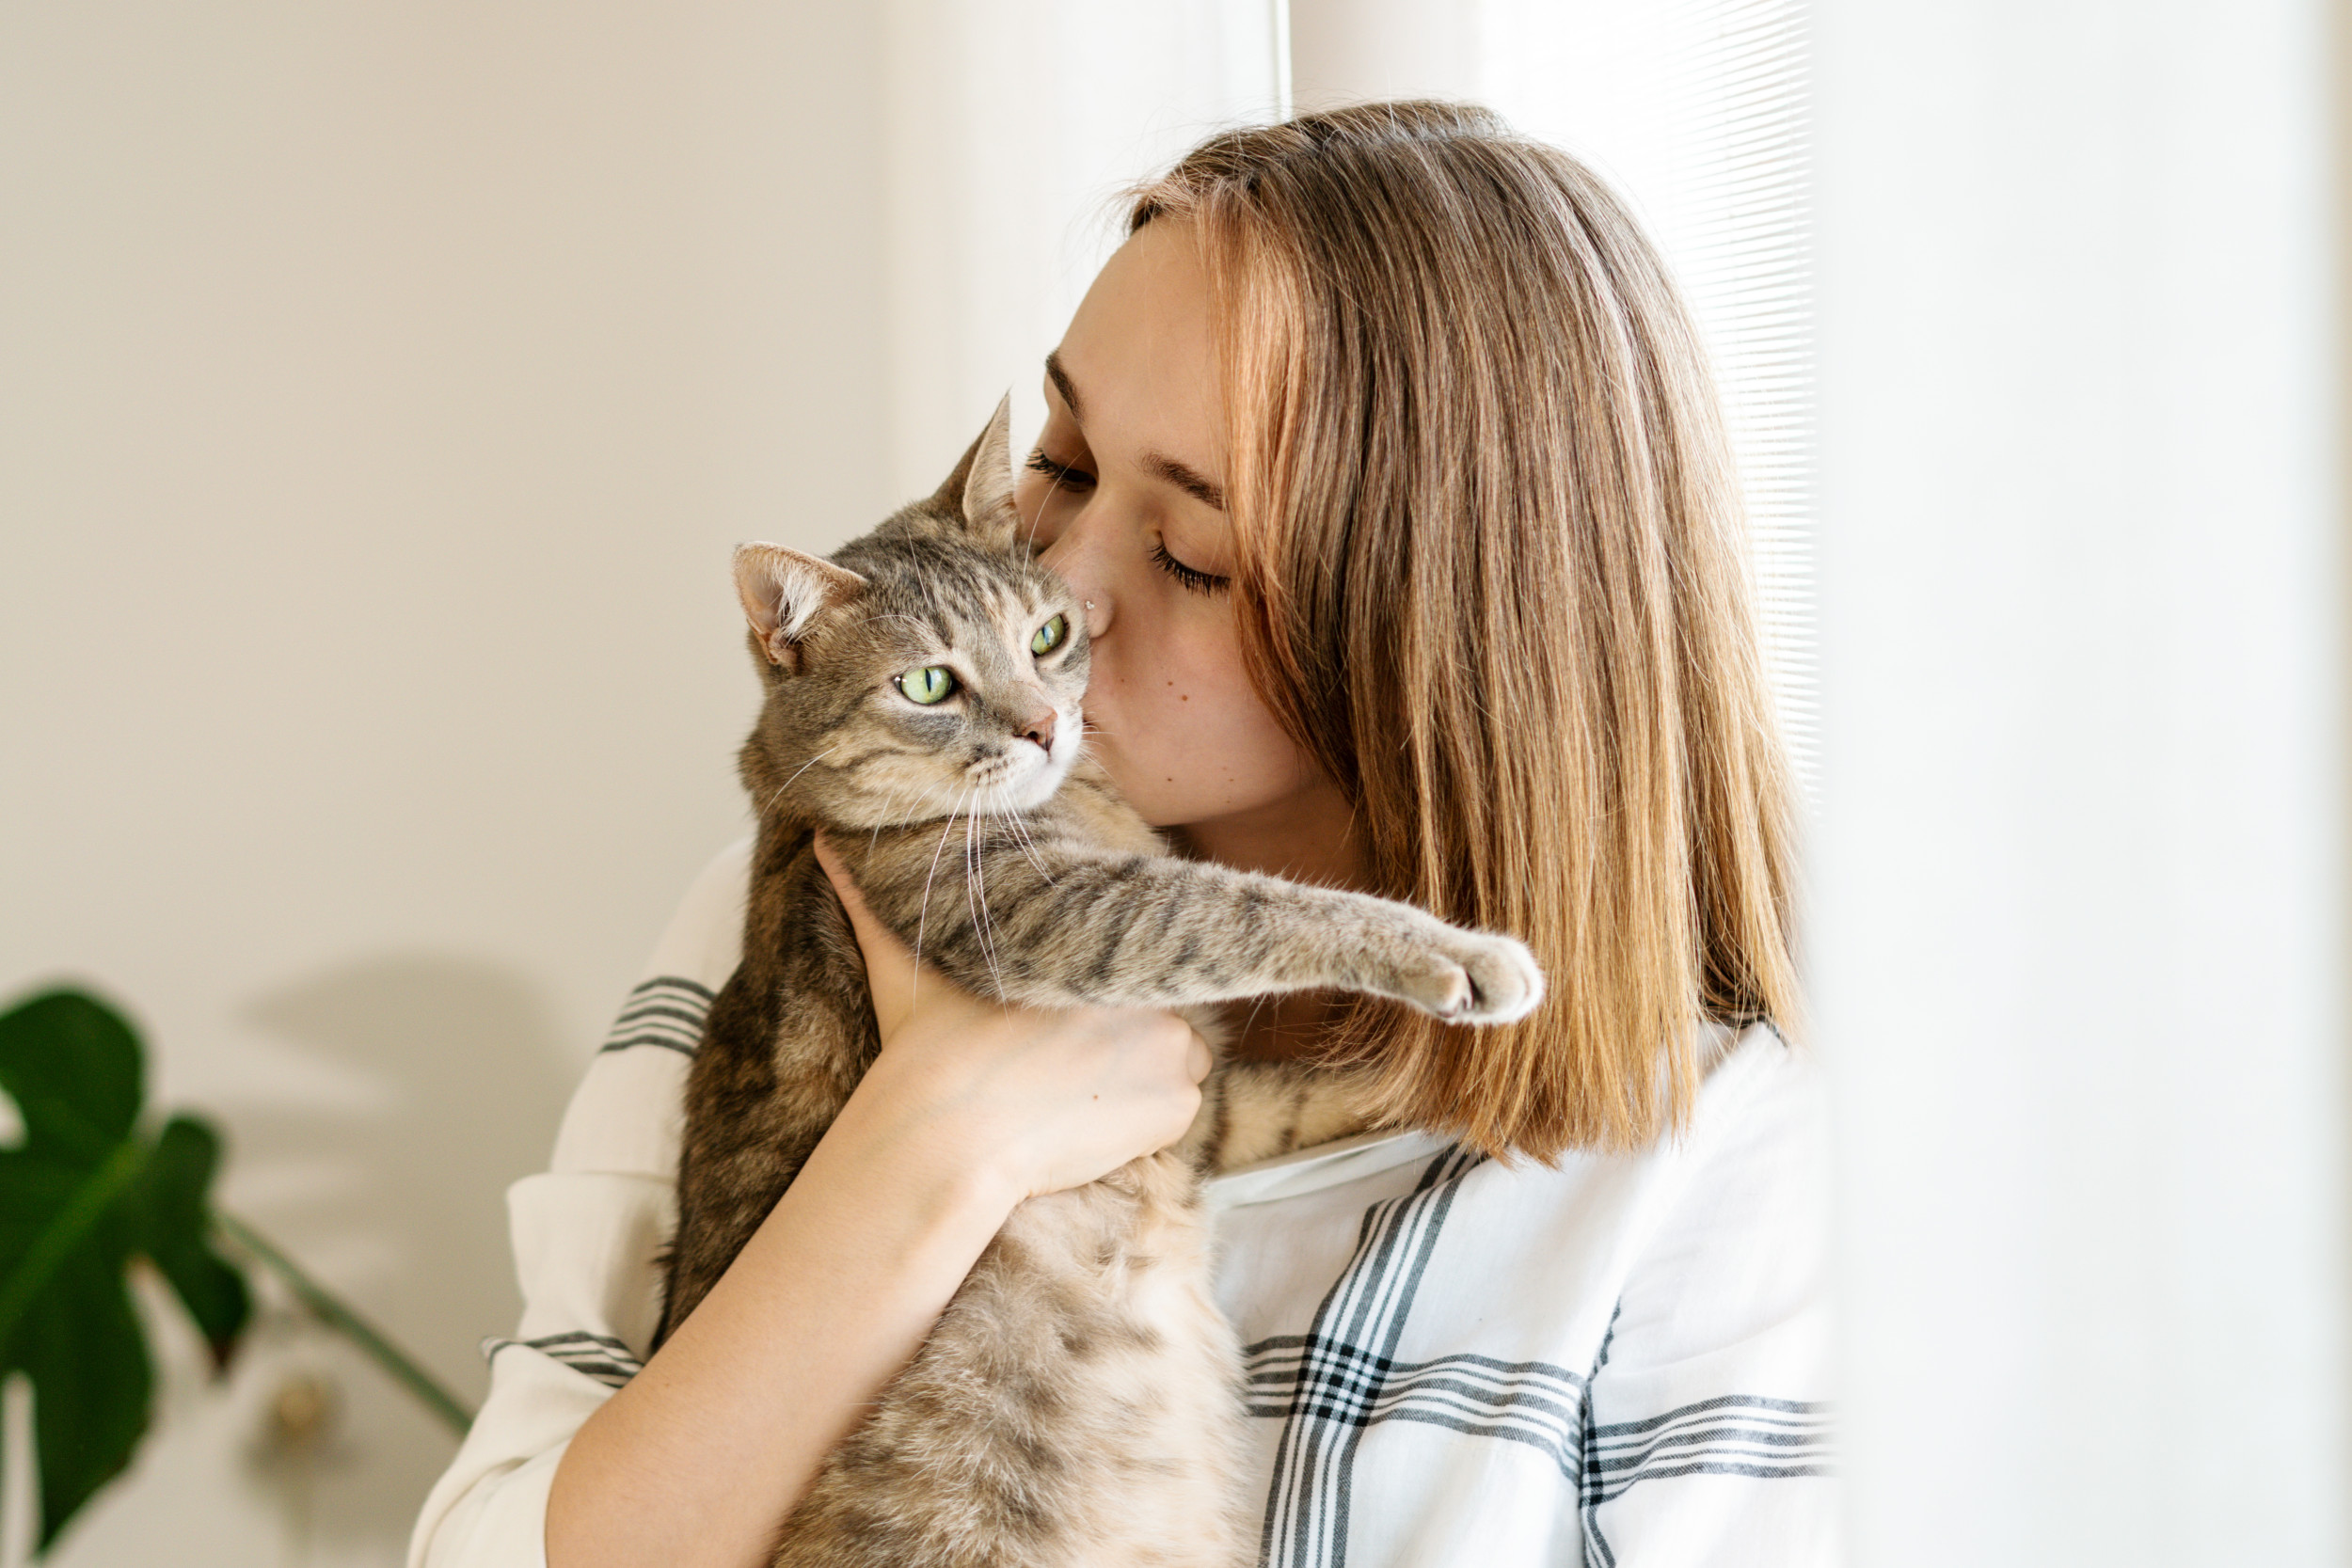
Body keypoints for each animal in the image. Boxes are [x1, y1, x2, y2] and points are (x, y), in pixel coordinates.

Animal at [663, 404, 1543, 1568]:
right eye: (928, 684)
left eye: (1047, 634)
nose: (1044, 724)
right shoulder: (1061, 916)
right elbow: (1251, 908)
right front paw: (1464, 955)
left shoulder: (1204, 1105)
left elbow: (1304, 1090)